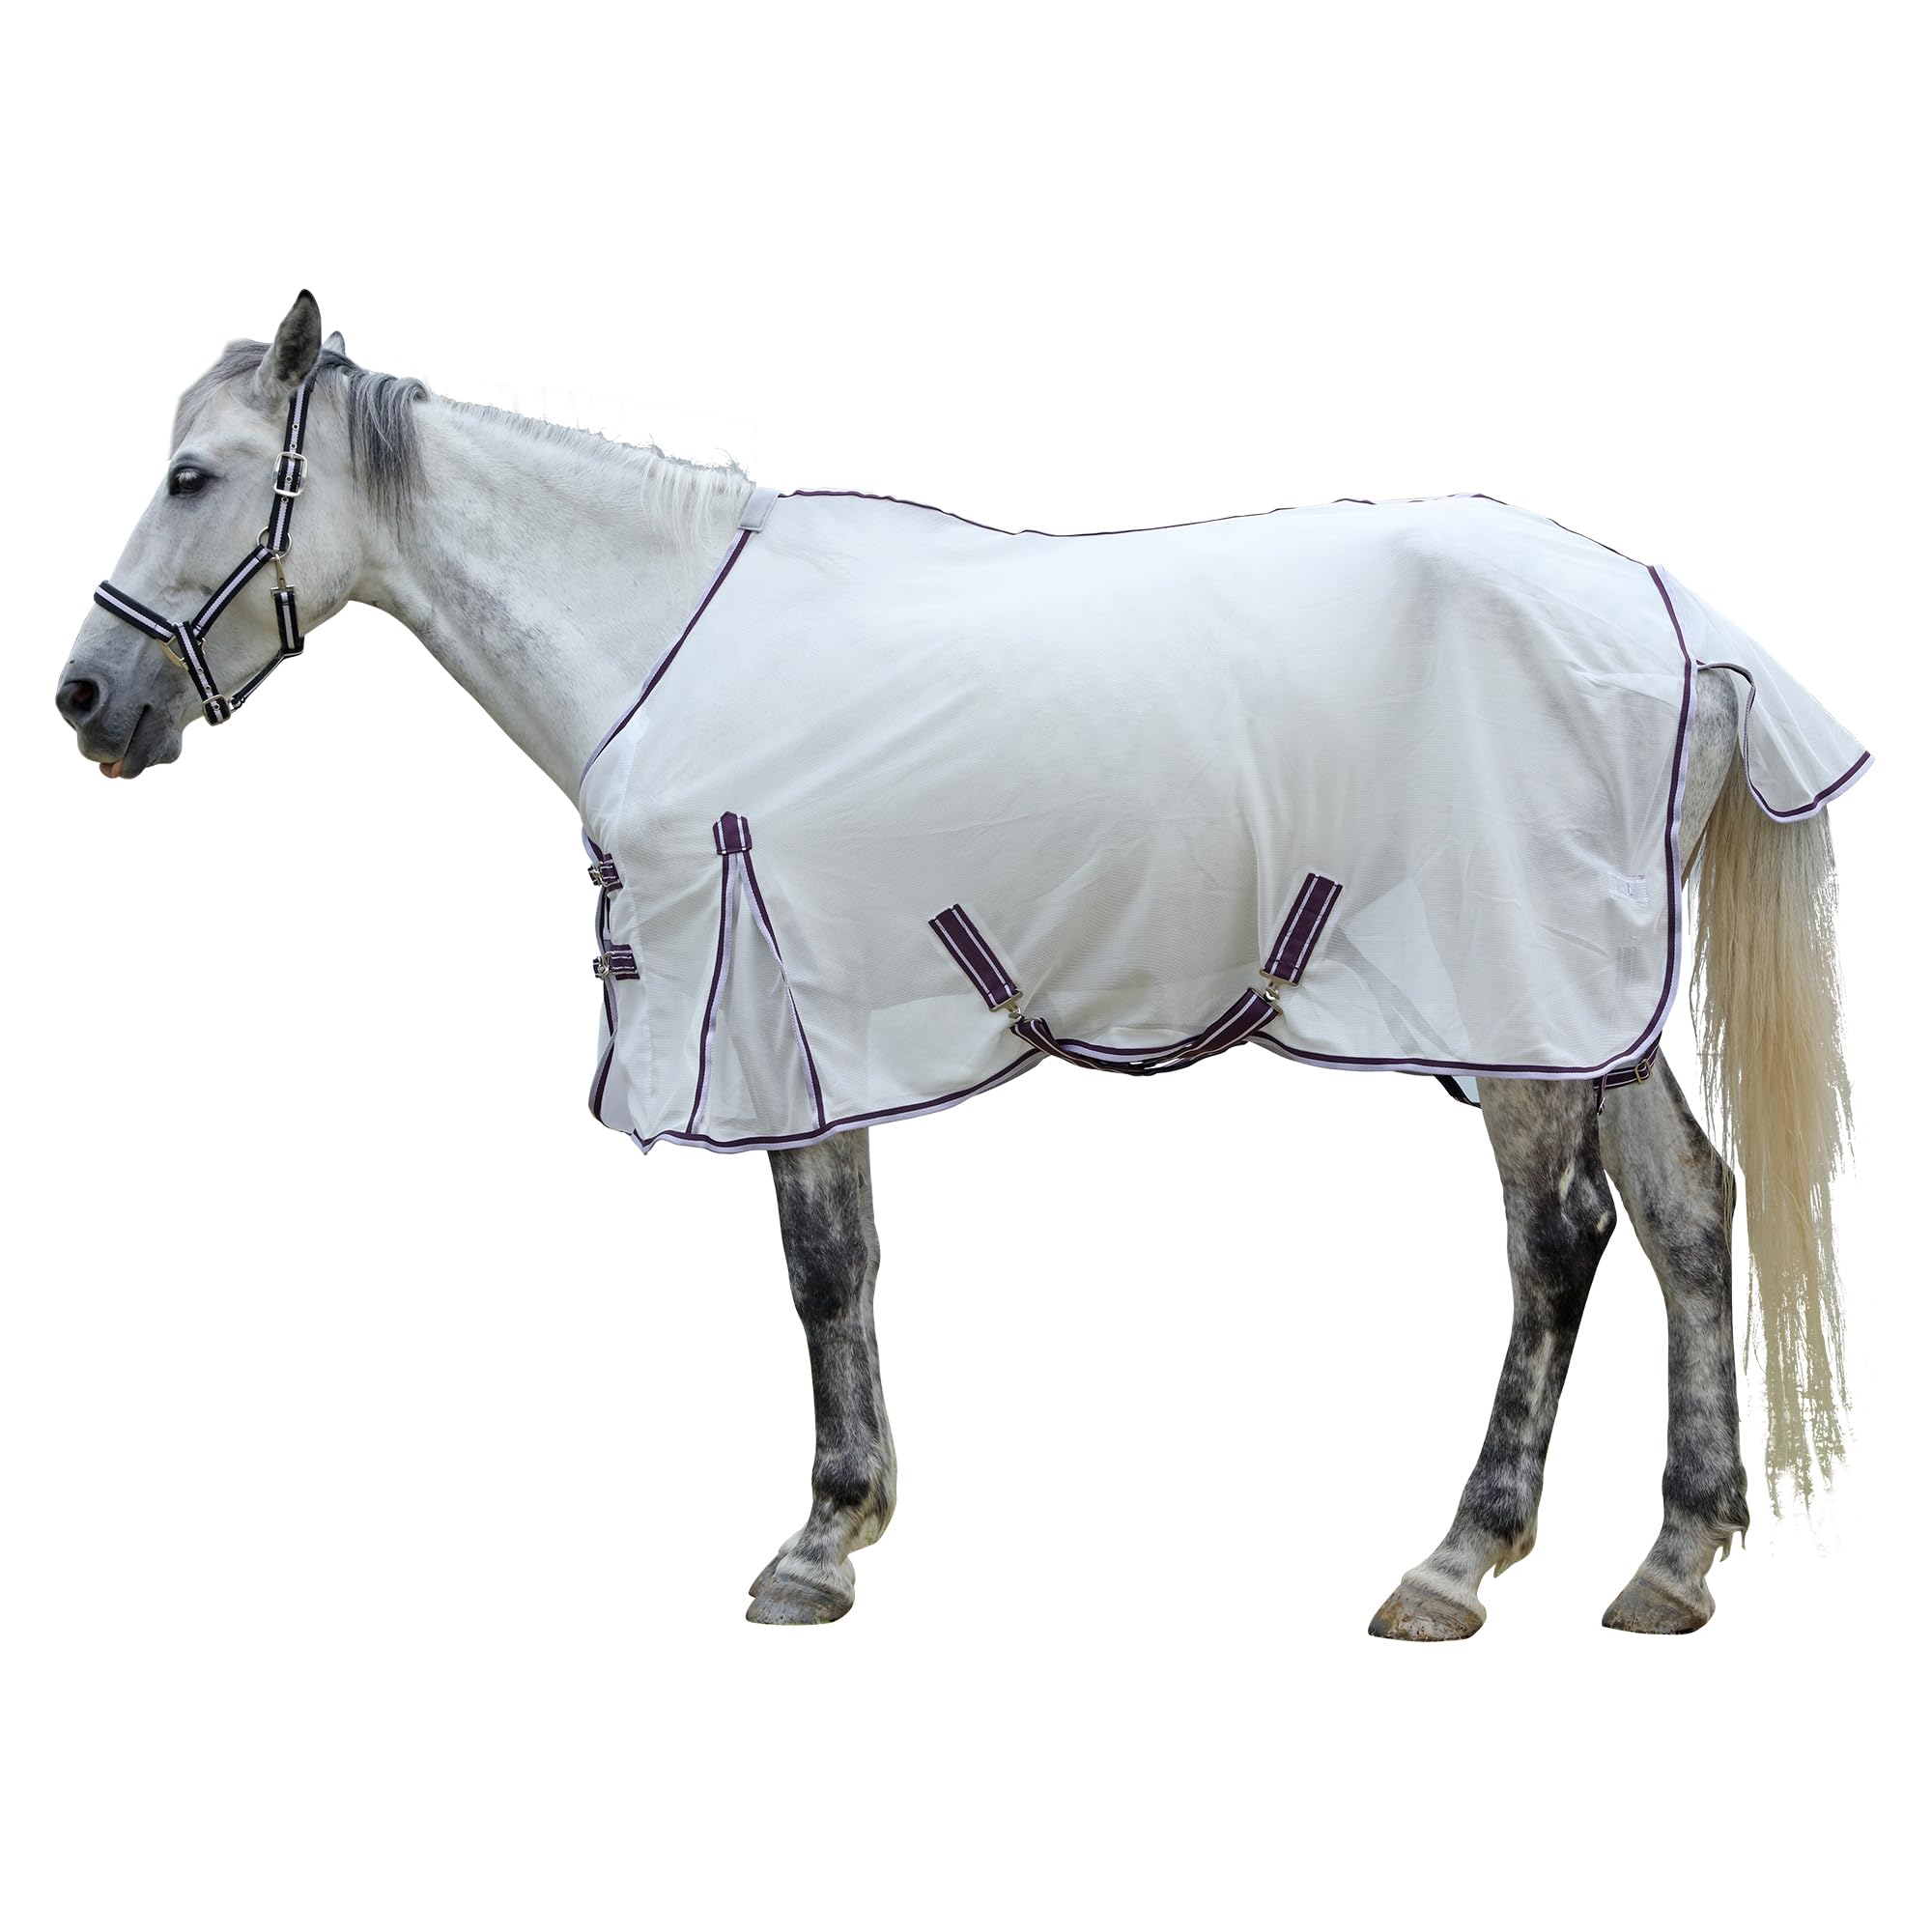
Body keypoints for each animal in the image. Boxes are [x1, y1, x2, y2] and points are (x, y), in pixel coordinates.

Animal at [55, 292, 1862, 1636]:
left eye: (197, 476)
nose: (84, 700)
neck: (663, 638)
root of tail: (1674, 621)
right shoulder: (815, 1022)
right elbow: (849, 1264)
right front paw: (850, 1523)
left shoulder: (773, 1020)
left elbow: (818, 1273)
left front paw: (815, 1544)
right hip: (1591, 1009)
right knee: (1689, 1216)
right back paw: (1673, 1561)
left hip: (1518, 1006)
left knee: (1559, 1245)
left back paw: (1457, 1561)